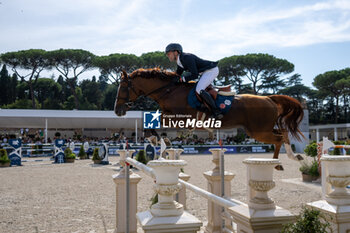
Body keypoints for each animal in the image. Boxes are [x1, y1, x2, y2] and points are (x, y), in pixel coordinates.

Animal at [114, 68, 304, 169]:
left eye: (122, 87)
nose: (117, 110)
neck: (169, 91)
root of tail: (268, 98)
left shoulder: (182, 118)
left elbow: (155, 124)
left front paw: (156, 139)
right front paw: (158, 140)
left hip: (258, 131)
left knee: (278, 138)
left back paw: (279, 162)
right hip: (261, 128)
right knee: (283, 132)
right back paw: (292, 157)